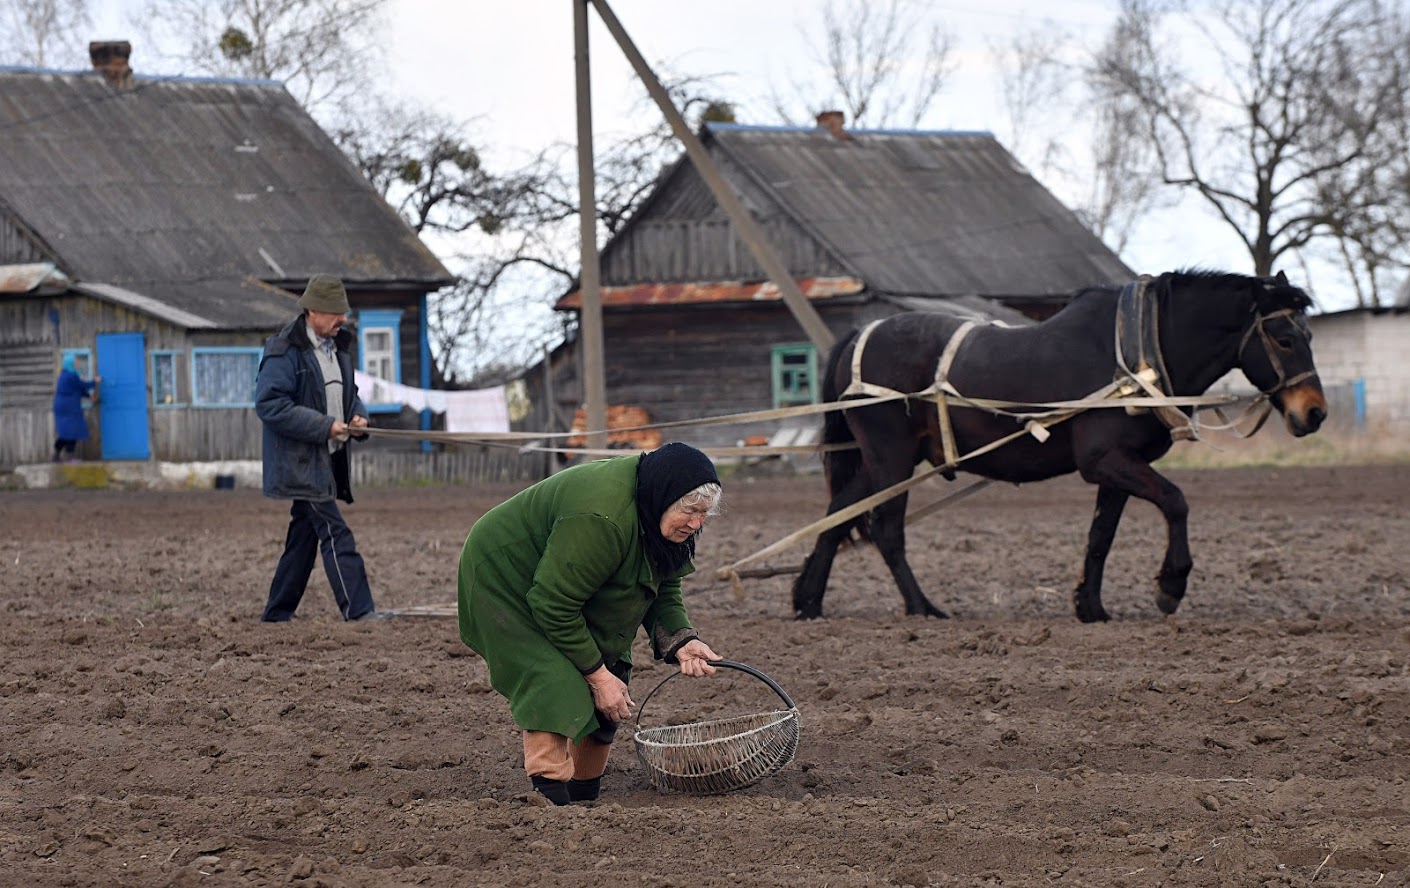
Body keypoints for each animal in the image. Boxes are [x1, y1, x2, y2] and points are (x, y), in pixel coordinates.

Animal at [800, 267, 1325, 623]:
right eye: (1282, 338)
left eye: (1309, 335)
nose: (1314, 413)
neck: (1132, 356)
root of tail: (857, 336)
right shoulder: (1104, 461)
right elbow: (1176, 502)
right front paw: (1171, 585)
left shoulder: (1120, 466)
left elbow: (1101, 537)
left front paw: (1091, 607)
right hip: (891, 458)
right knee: (886, 529)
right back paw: (921, 607)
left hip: (881, 461)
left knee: (837, 515)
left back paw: (807, 601)